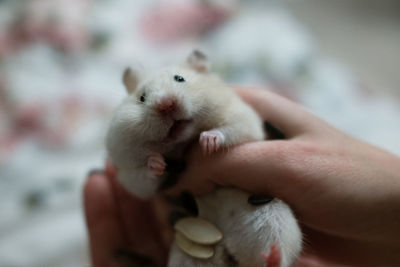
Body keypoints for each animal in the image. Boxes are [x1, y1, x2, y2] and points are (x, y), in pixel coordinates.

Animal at [104, 51, 302, 266]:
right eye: (142, 97)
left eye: (180, 78)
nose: (165, 105)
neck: (182, 142)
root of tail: (227, 245)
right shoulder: (129, 172)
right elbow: (141, 179)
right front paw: (156, 162)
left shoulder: (246, 121)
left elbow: (230, 130)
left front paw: (207, 142)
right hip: (190, 253)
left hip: (273, 218)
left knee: (276, 256)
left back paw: (272, 255)